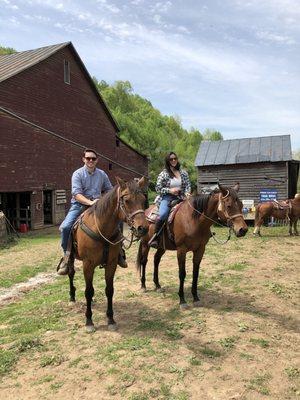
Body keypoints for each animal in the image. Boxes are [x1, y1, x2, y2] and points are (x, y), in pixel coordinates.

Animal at [67, 177, 148, 330]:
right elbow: (88, 291)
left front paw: (111, 319)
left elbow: (109, 290)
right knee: (71, 273)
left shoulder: (111, 263)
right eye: (126, 200)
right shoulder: (88, 265)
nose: (143, 228)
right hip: (72, 258)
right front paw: (89, 321)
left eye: (143, 199)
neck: (101, 229)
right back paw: (72, 297)